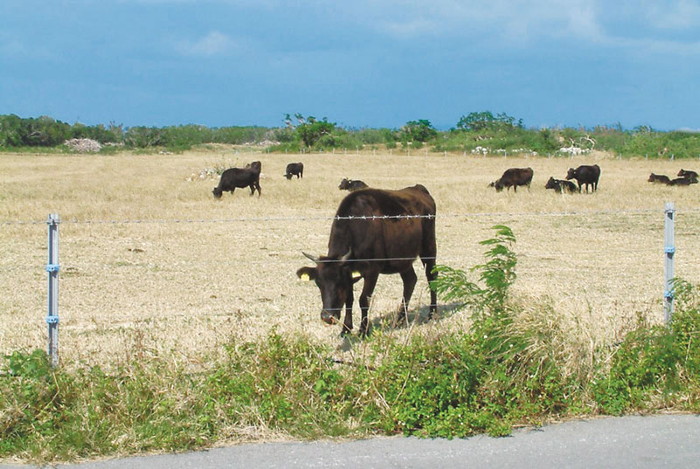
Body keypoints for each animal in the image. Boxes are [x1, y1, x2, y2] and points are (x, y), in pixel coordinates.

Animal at [296, 184, 438, 336]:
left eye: (339, 282)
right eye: (318, 283)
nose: (327, 317)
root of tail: (418, 188)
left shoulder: (372, 271)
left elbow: (363, 299)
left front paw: (363, 330)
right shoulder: (350, 274)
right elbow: (349, 299)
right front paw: (346, 328)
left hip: (429, 248)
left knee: (431, 276)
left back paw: (432, 313)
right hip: (402, 259)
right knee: (410, 280)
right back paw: (400, 319)